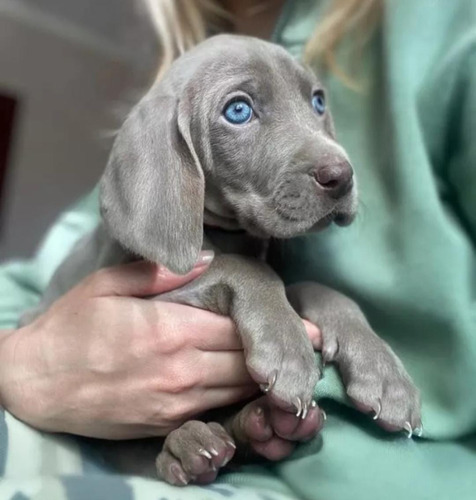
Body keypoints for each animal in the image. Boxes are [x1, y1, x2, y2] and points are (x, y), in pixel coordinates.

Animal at [19, 34, 420, 484]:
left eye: (318, 101)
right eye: (238, 110)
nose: (343, 176)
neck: (234, 236)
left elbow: (315, 286)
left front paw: (382, 371)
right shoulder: (145, 294)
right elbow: (245, 268)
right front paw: (287, 349)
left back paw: (259, 427)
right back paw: (188, 448)